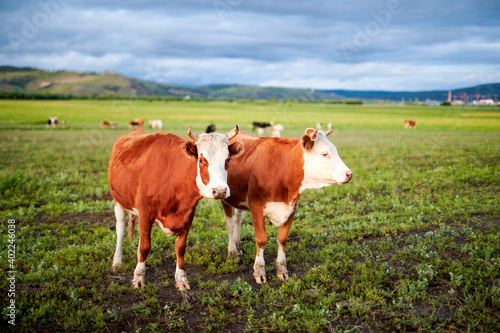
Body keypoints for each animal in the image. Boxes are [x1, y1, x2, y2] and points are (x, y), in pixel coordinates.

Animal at [109, 124, 242, 288]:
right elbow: (145, 246)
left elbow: (180, 247)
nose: (220, 191)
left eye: (227, 159)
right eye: (201, 160)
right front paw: (139, 276)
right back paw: (117, 261)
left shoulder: (188, 214)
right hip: (118, 200)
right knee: (120, 229)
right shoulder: (146, 212)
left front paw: (181, 279)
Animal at [223, 127, 352, 282]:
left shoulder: (292, 209)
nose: (349, 174)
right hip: (225, 197)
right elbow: (261, 239)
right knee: (230, 223)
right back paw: (232, 251)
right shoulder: (257, 208)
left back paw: (238, 244)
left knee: (238, 218)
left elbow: (282, 238)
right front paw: (259, 271)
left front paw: (282, 270)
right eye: (324, 153)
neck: (282, 169)